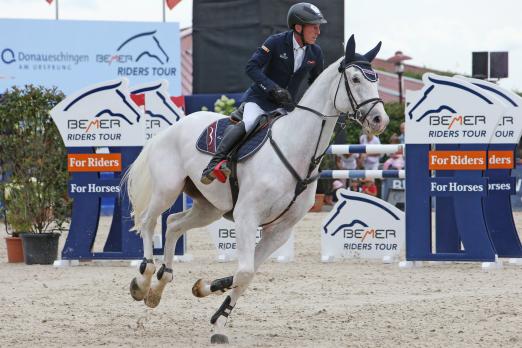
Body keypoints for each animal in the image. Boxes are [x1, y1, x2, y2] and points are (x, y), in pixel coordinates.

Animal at [123, 34, 386, 342]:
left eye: (376, 79)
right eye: (355, 79)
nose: (380, 120)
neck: (295, 148)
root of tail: (170, 128)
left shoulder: (279, 230)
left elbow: (243, 276)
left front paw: (212, 307)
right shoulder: (247, 218)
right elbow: (246, 272)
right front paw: (217, 322)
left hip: (209, 208)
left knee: (174, 224)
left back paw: (159, 287)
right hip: (167, 189)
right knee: (149, 221)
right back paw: (143, 280)